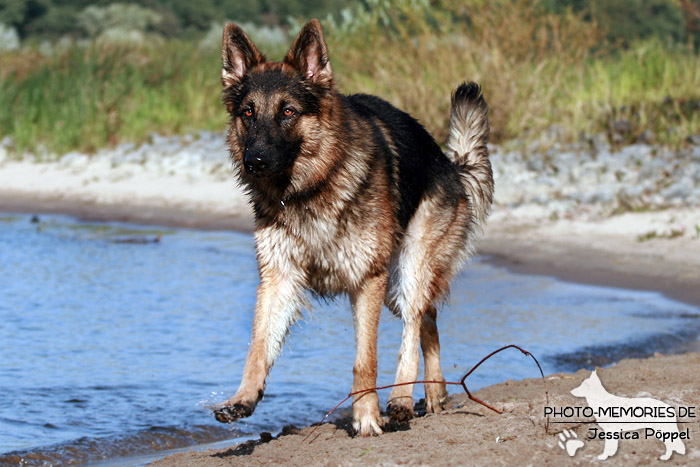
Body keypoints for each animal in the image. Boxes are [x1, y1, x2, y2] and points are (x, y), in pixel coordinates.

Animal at [213, 17, 492, 436]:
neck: (313, 188)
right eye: (248, 113)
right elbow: (258, 348)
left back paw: (401, 399)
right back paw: (436, 392)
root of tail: (451, 166)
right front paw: (243, 398)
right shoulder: (279, 279)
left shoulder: (366, 281)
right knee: (429, 321)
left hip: (407, 271)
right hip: (395, 288)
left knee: (413, 325)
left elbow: (366, 360)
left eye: (287, 111)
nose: (255, 161)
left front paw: (366, 417)